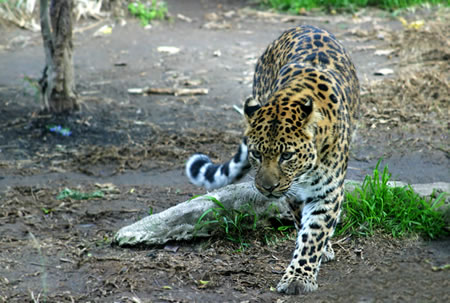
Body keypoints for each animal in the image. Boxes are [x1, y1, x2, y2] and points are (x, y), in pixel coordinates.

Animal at [185, 25, 358, 296]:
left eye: (287, 155)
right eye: (257, 154)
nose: (267, 187)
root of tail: (303, 26)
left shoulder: (328, 191)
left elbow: (314, 234)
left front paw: (299, 277)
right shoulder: (294, 193)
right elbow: (303, 224)